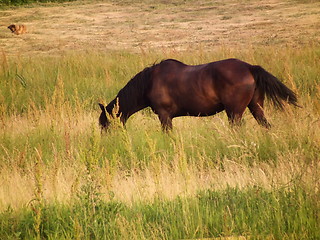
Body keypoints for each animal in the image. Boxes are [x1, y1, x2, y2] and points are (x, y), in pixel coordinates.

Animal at [99, 57, 298, 131]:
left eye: (104, 124)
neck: (149, 82)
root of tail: (249, 67)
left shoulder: (164, 116)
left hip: (234, 113)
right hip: (256, 107)